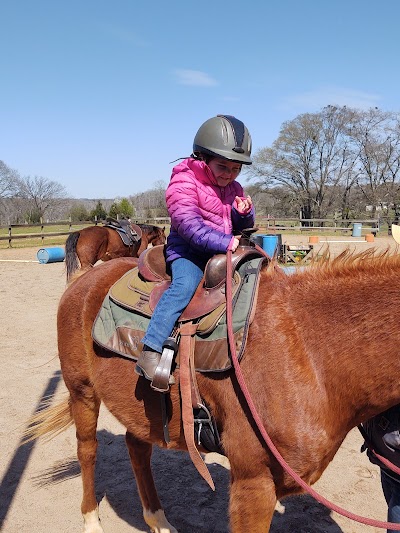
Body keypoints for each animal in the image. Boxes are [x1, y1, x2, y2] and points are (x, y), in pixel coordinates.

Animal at [25, 250, 400, 532]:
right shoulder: (253, 483)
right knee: (87, 450)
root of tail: (85, 277)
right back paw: (91, 520)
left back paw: (158, 520)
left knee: (137, 447)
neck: (309, 350)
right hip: (82, 391)